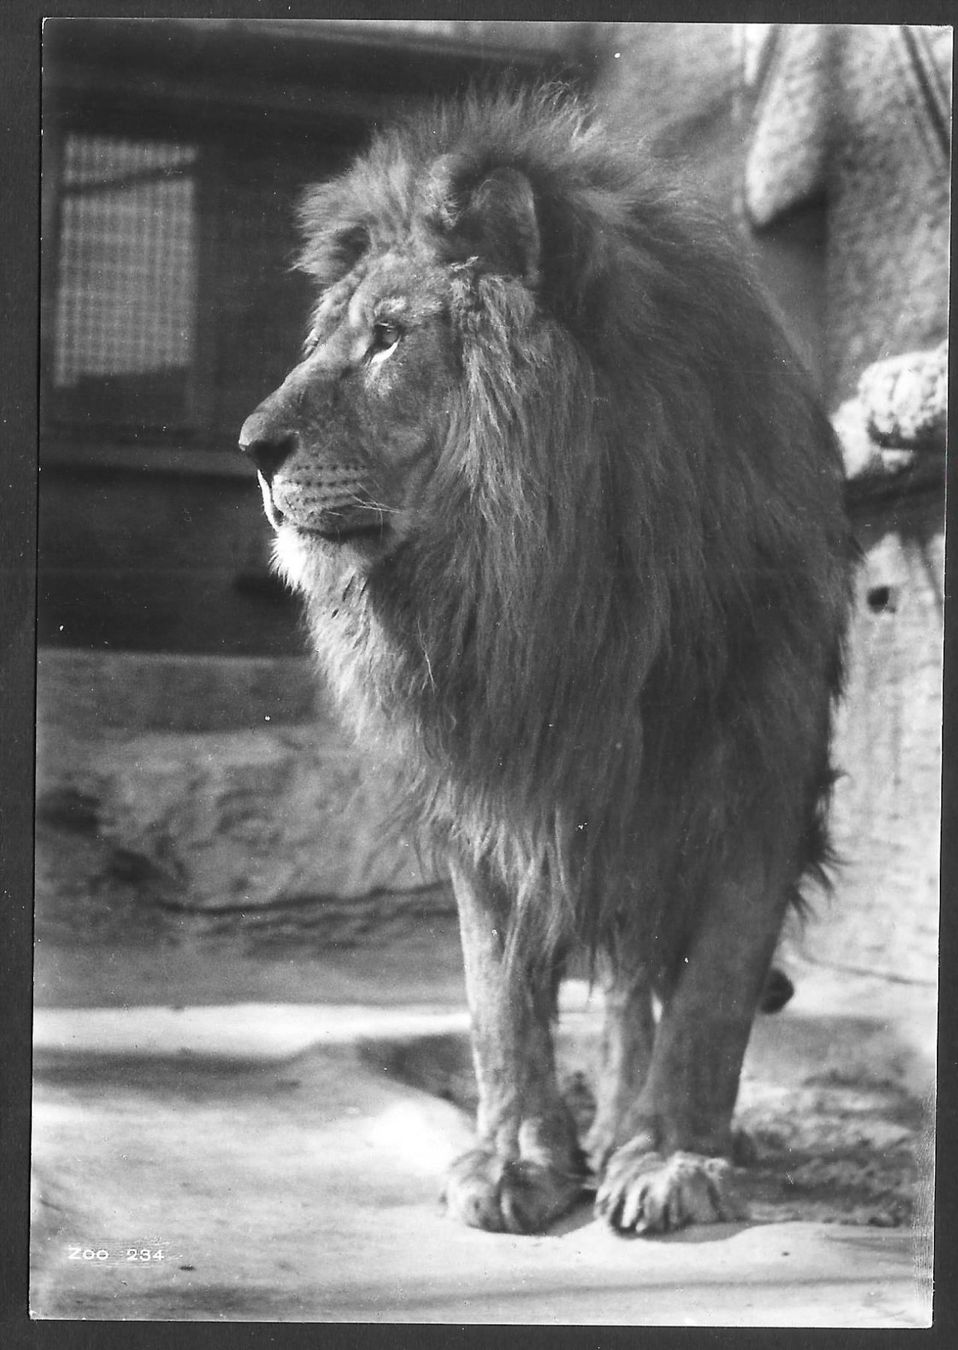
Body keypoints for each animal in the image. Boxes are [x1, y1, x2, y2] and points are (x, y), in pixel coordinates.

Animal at [240, 90, 854, 1236]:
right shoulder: (490, 777)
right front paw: (516, 1158)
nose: (251, 446)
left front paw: (671, 1158)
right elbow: (498, 993)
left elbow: (709, 993)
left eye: (388, 338)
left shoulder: (758, 769)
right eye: (332, 337)